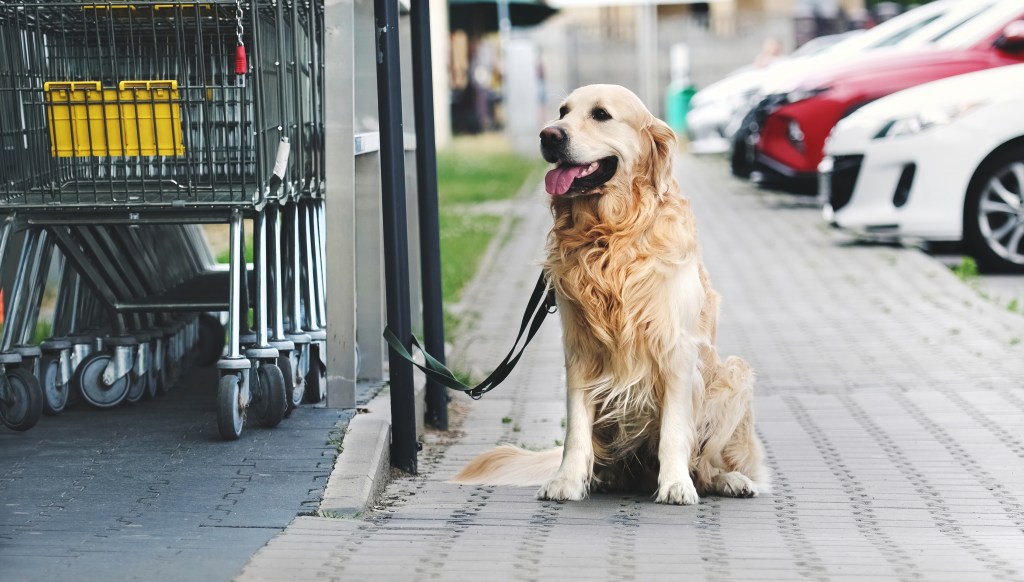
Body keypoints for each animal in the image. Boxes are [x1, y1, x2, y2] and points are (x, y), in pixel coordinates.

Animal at [452, 84, 765, 502]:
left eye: (601, 114)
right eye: (562, 112)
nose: (548, 135)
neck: (610, 237)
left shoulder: (676, 350)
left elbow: (674, 432)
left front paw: (676, 484)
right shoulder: (579, 348)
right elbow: (575, 431)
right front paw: (567, 481)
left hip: (733, 374)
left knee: (706, 462)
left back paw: (727, 480)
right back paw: (603, 478)